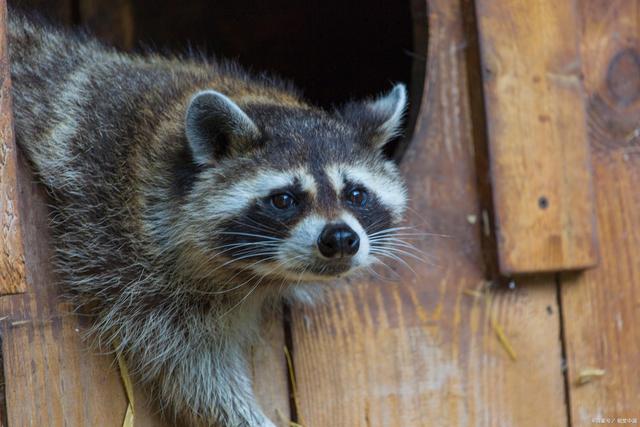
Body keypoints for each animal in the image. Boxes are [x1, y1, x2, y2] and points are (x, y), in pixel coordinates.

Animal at [7, 10, 410, 427]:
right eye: (284, 200)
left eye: (356, 195)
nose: (341, 239)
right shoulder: (116, 242)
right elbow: (193, 367)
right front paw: (244, 415)